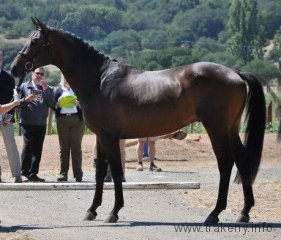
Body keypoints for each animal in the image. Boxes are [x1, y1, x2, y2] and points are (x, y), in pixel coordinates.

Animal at [10, 18, 264, 223]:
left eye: (35, 41)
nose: (14, 68)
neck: (99, 79)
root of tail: (235, 72)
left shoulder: (110, 137)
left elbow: (114, 172)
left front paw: (113, 212)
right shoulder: (101, 137)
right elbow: (101, 173)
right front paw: (92, 210)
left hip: (217, 129)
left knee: (226, 163)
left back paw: (214, 214)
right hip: (230, 129)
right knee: (242, 160)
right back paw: (244, 213)